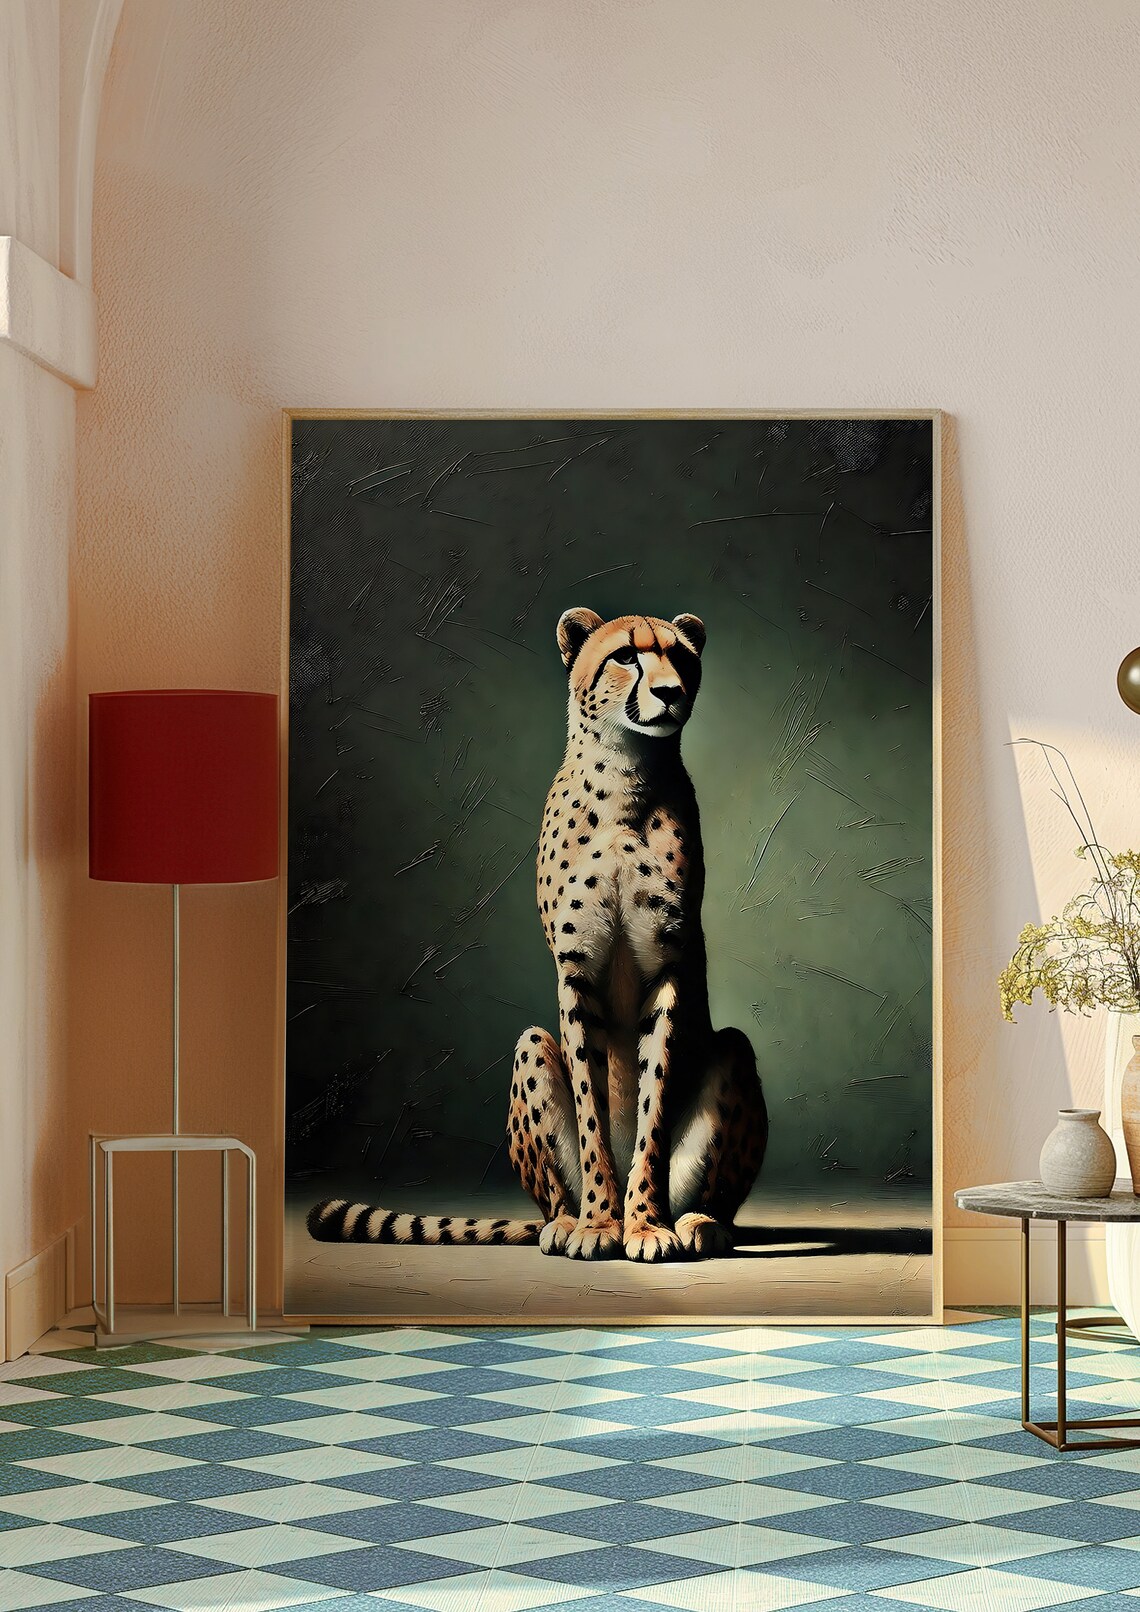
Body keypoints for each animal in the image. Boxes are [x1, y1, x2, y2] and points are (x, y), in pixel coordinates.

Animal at [309, 607, 768, 1261]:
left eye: (680, 656)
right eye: (625, 656)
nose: (670, 692)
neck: (627, 774)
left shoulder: (668, 968)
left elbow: (651, 1112)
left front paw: (643, 1225)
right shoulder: (576, 969)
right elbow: (591, 1107)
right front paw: (601, 1225)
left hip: (731, 1053)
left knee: (721, 1124)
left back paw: (697, 1223)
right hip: (530, 1048)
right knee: (552, 1185)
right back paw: (569, 1222)